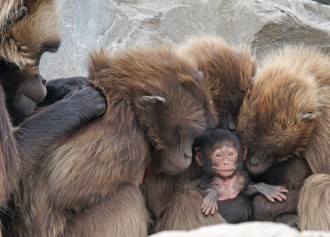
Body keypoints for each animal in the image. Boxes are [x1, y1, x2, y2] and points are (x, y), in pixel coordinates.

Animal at [9, 45, 219, 237]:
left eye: (192, 135)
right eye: (183, 134)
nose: (187, 154)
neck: (130, 104)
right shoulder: (124, 137)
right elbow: (67, 190)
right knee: (131, 197)